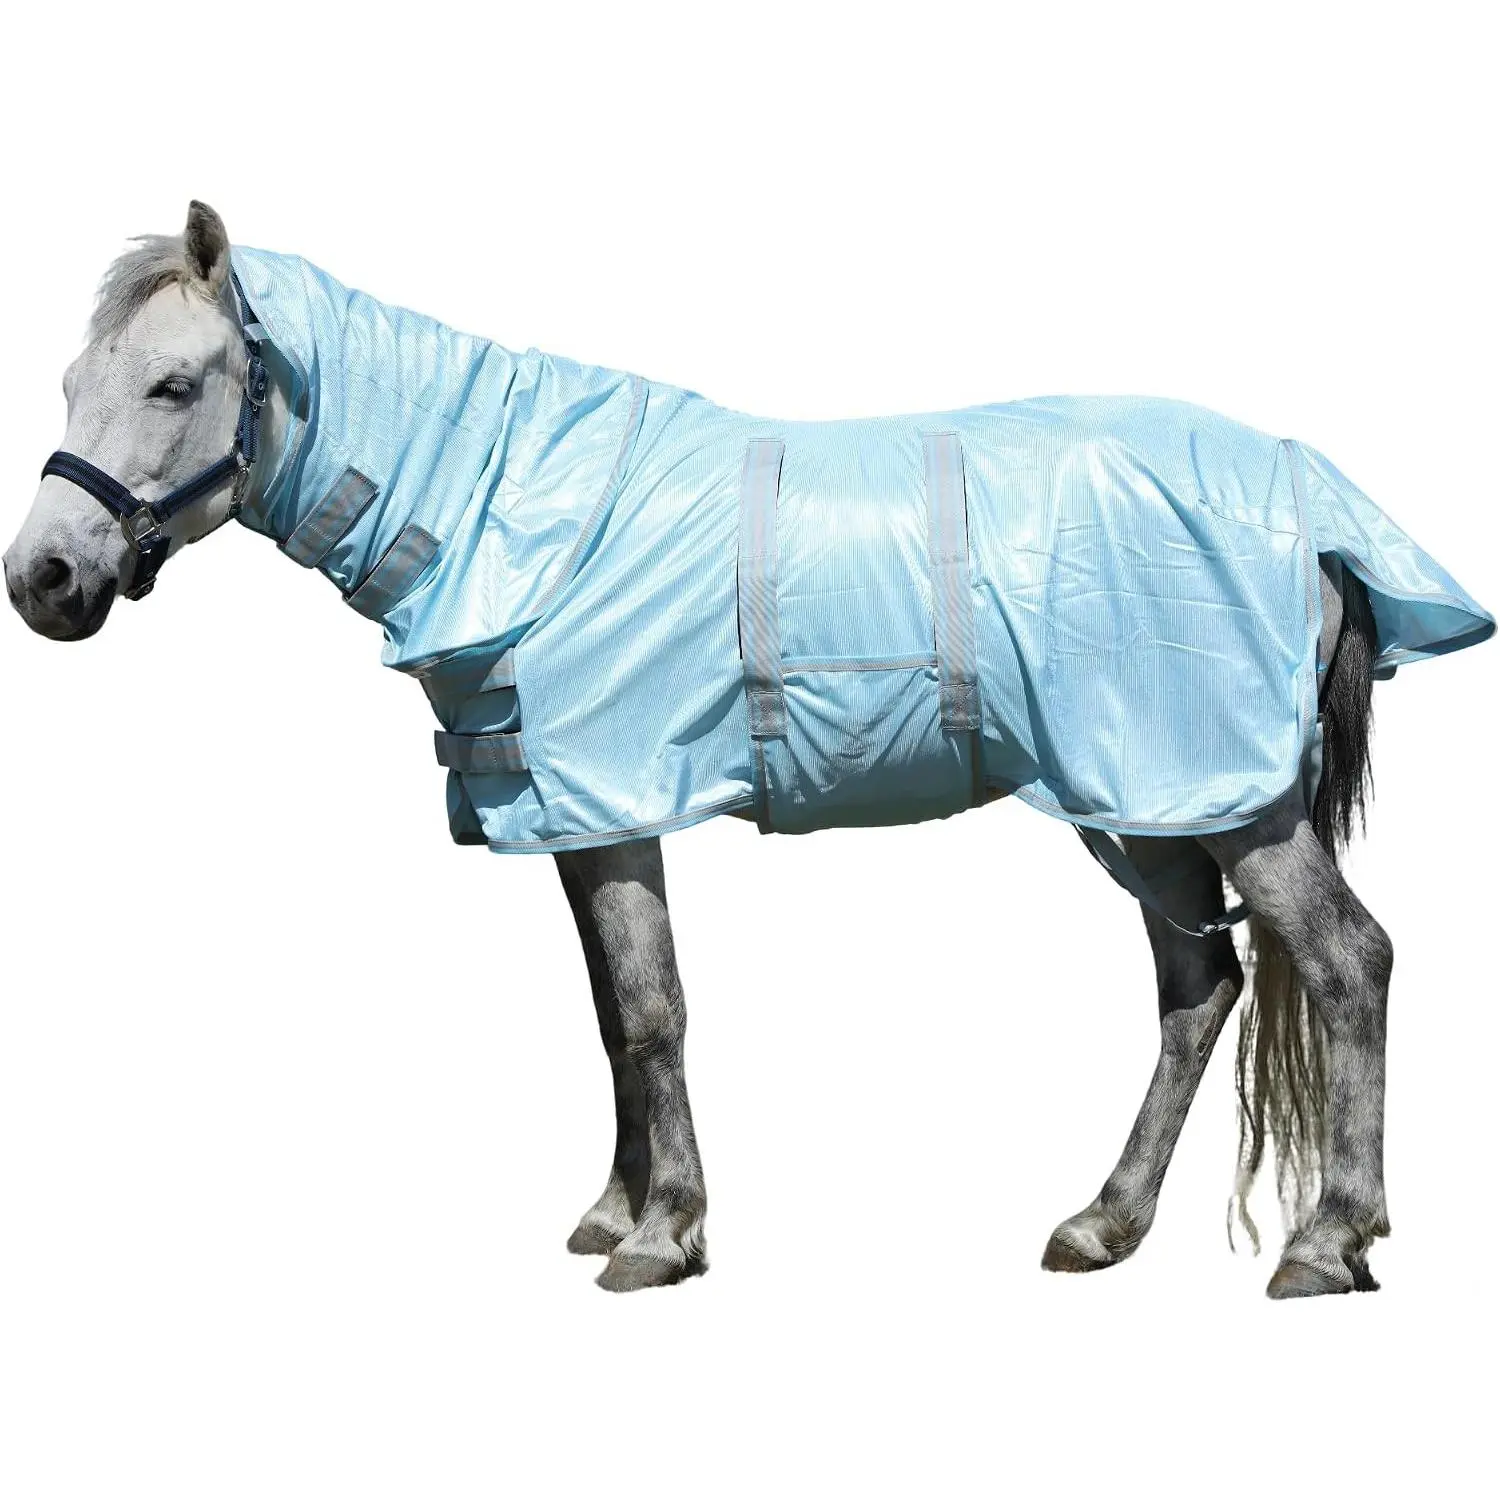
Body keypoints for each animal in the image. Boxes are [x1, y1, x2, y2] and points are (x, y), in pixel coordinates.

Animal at [6, 201, 1493, 1297]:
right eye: (72, 381)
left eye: (174, 383)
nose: (44, 581)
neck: (513, 507)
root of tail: (1308, 499)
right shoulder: (570, 811)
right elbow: (610, 1016)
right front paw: (619, 1211)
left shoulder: (615, 803)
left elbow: (652, 1012)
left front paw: (665, 1237)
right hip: (1144, 801)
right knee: (1199, 986)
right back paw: (1102, 1225)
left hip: (1221, 799)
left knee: (1348, 962)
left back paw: (1329, 1241)